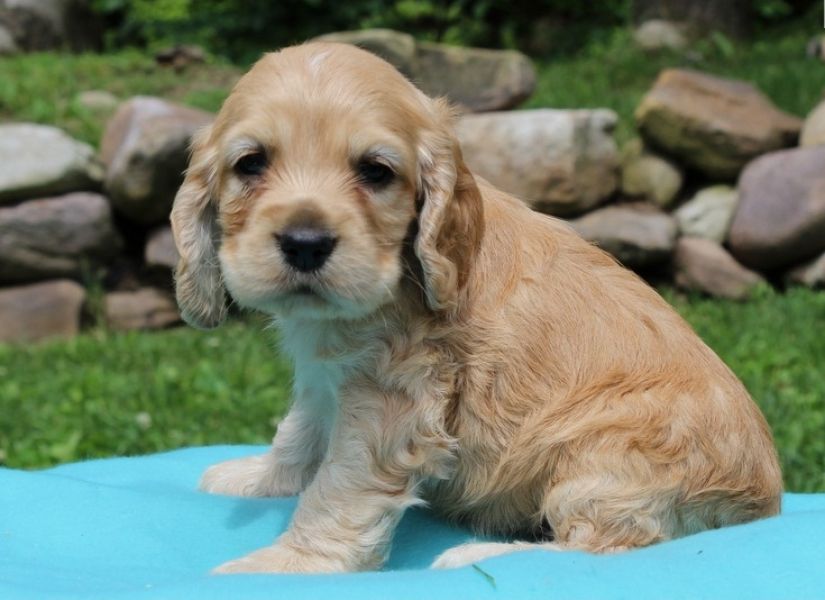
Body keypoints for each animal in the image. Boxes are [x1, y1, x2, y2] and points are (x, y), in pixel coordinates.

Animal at [170, 42, 782, 573]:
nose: (304, 242)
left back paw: (481, 555)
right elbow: (300, 430)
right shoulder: (326, 377)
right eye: (251, 164)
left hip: (609, 460)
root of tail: (767, 502)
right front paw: (260, 476)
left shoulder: (397, 395)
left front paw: (287, 564)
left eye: (375, 171)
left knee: (605, 545)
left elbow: (340, 486)